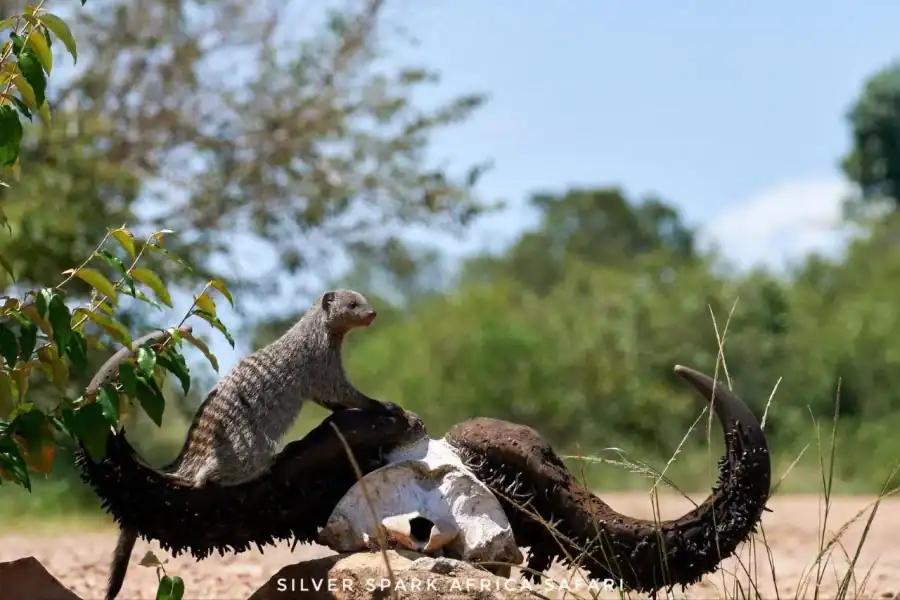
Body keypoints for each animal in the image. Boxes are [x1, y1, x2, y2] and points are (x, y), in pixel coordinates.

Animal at [105, 289, 401, 600]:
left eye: (364, 302)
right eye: (353, 304)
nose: (372, 313)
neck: (318, 332)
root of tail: (189, 453)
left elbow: (332, 400)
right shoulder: (320, 363)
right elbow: (340, 391)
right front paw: (385, 405)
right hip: (246, 444)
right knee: (209, 477)